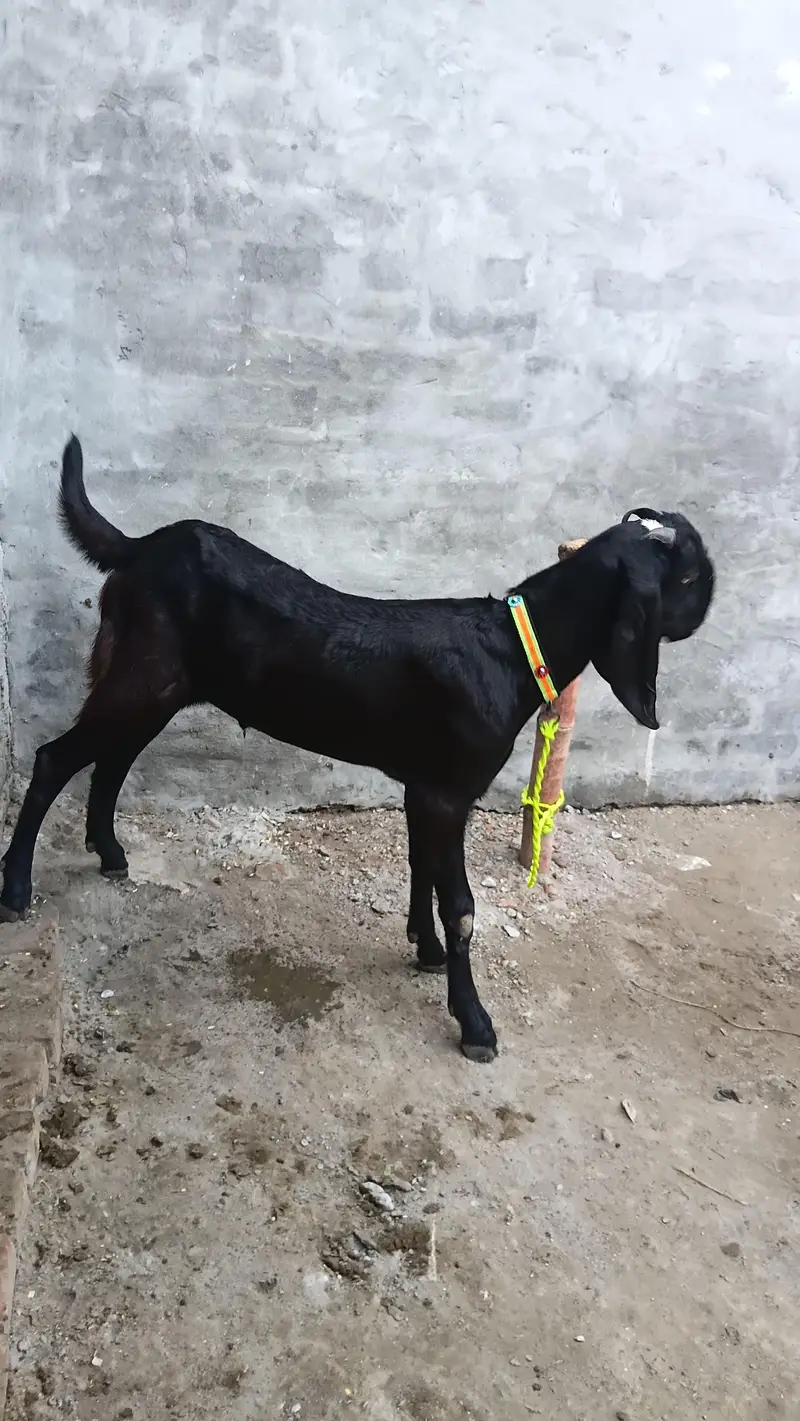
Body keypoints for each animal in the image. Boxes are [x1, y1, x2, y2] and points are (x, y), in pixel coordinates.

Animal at [0, 437, 714, 1061]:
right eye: (686, 576)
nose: (710, 599)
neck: (512, 646)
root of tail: (141, 547)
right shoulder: (448, 790)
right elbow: (461, 907)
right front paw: (474, 1024)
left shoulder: (423, 788)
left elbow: (421, 867)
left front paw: (423, 950)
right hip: (141, 677)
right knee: (56, 758)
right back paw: (15, 890)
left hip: (158, 685)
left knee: (113, 758)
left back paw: (109, 851)